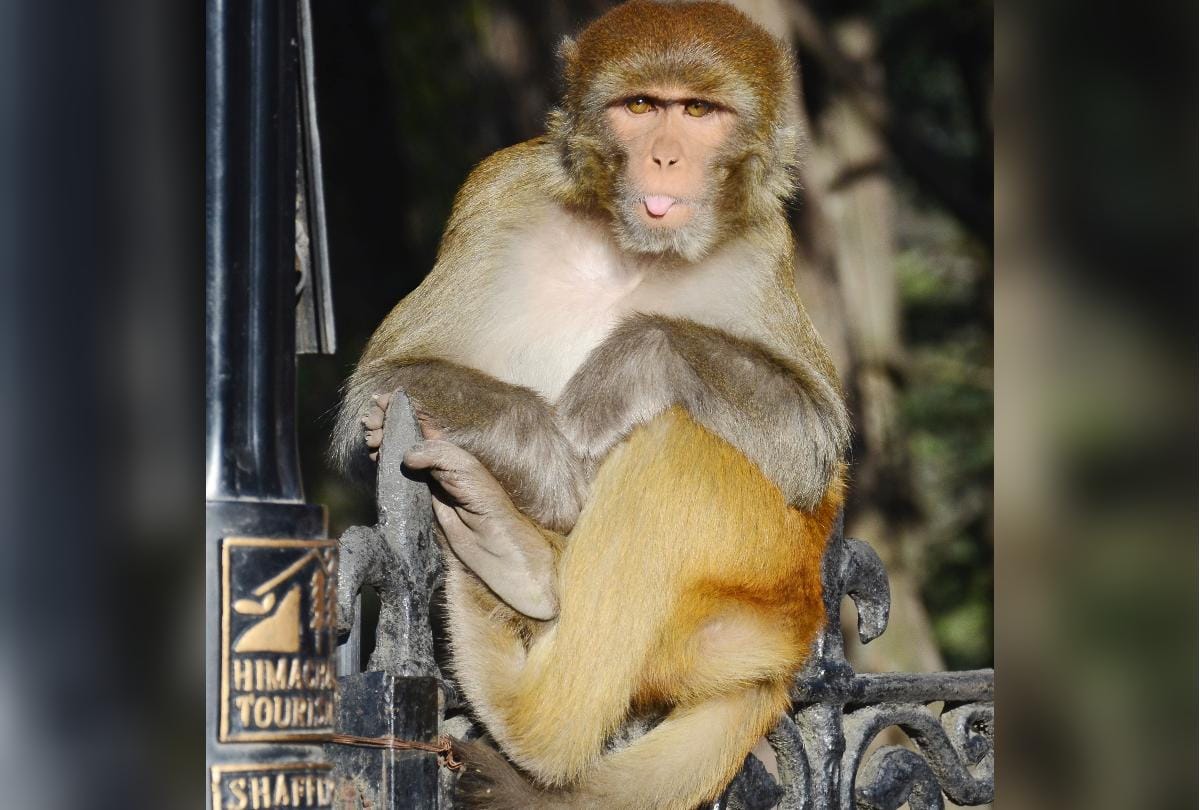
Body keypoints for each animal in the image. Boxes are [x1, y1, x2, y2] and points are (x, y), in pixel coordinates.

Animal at [331, 2, 850, 807]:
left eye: (697, 112)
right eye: (640, 107)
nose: (664, 159)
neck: (629, 250)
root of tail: (794, 648)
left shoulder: (765, 245)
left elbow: (815, 441)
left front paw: (626, 366)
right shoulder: (498, 194)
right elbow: (379, 387)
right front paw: (546, 454)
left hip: (756, 594)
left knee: (678, 444)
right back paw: (514, 548)